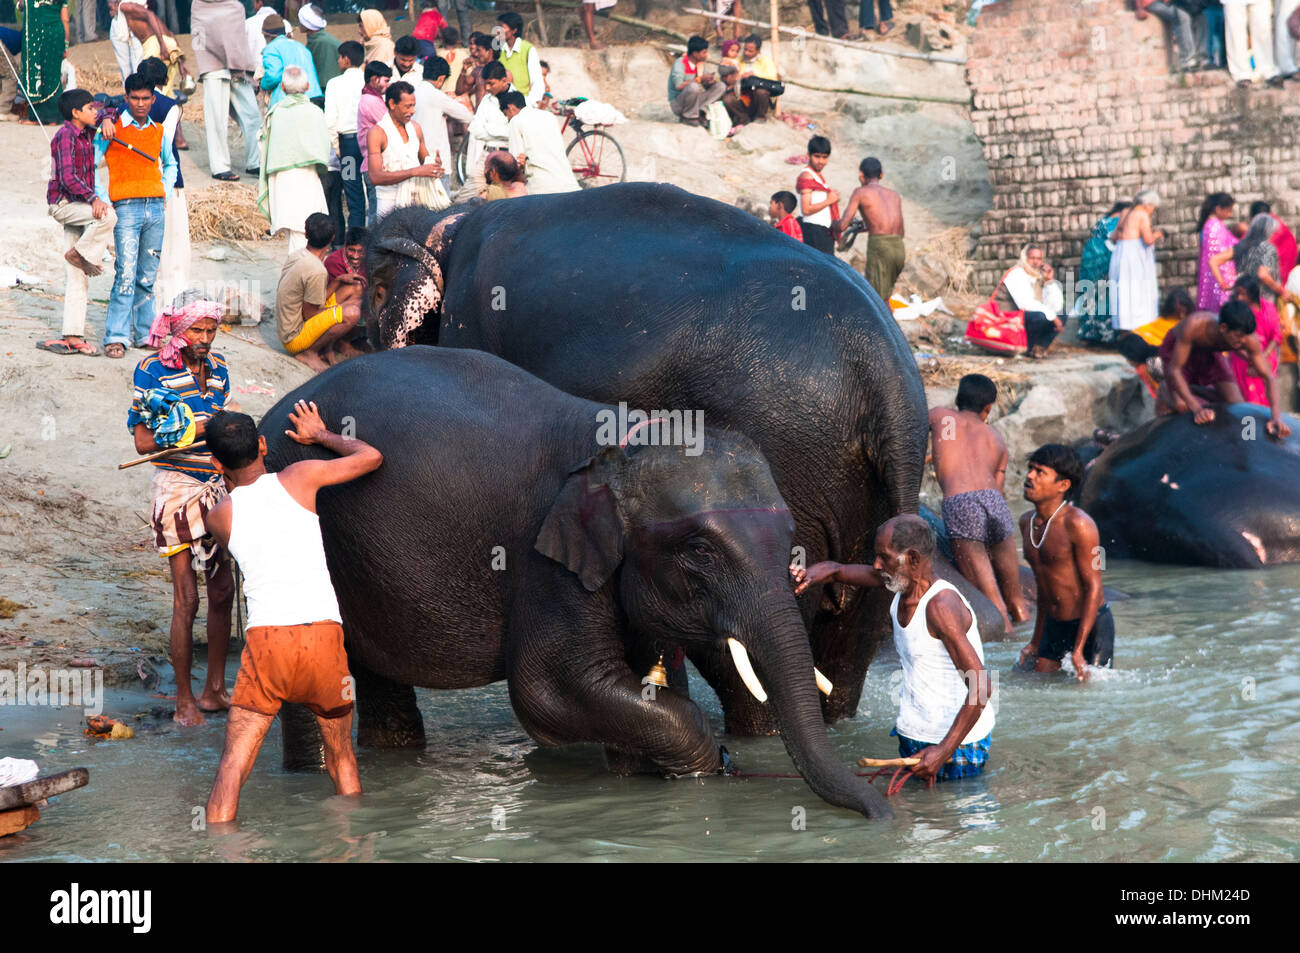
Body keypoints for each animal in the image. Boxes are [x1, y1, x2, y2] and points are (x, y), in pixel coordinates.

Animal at [261, 348, 894, 816]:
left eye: (790, 535)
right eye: (700, 550)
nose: (882, 811)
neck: (623, 441)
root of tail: (276, 410)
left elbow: (648, 686)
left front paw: (641, 775)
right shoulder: (547, 564)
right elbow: (551, 691)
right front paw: (705, 772)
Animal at [361, 185, 930, 738]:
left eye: (372, 301)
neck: (448, 220)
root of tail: (884, 369)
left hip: (789, 462)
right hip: (873, 492)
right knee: (848, 639)